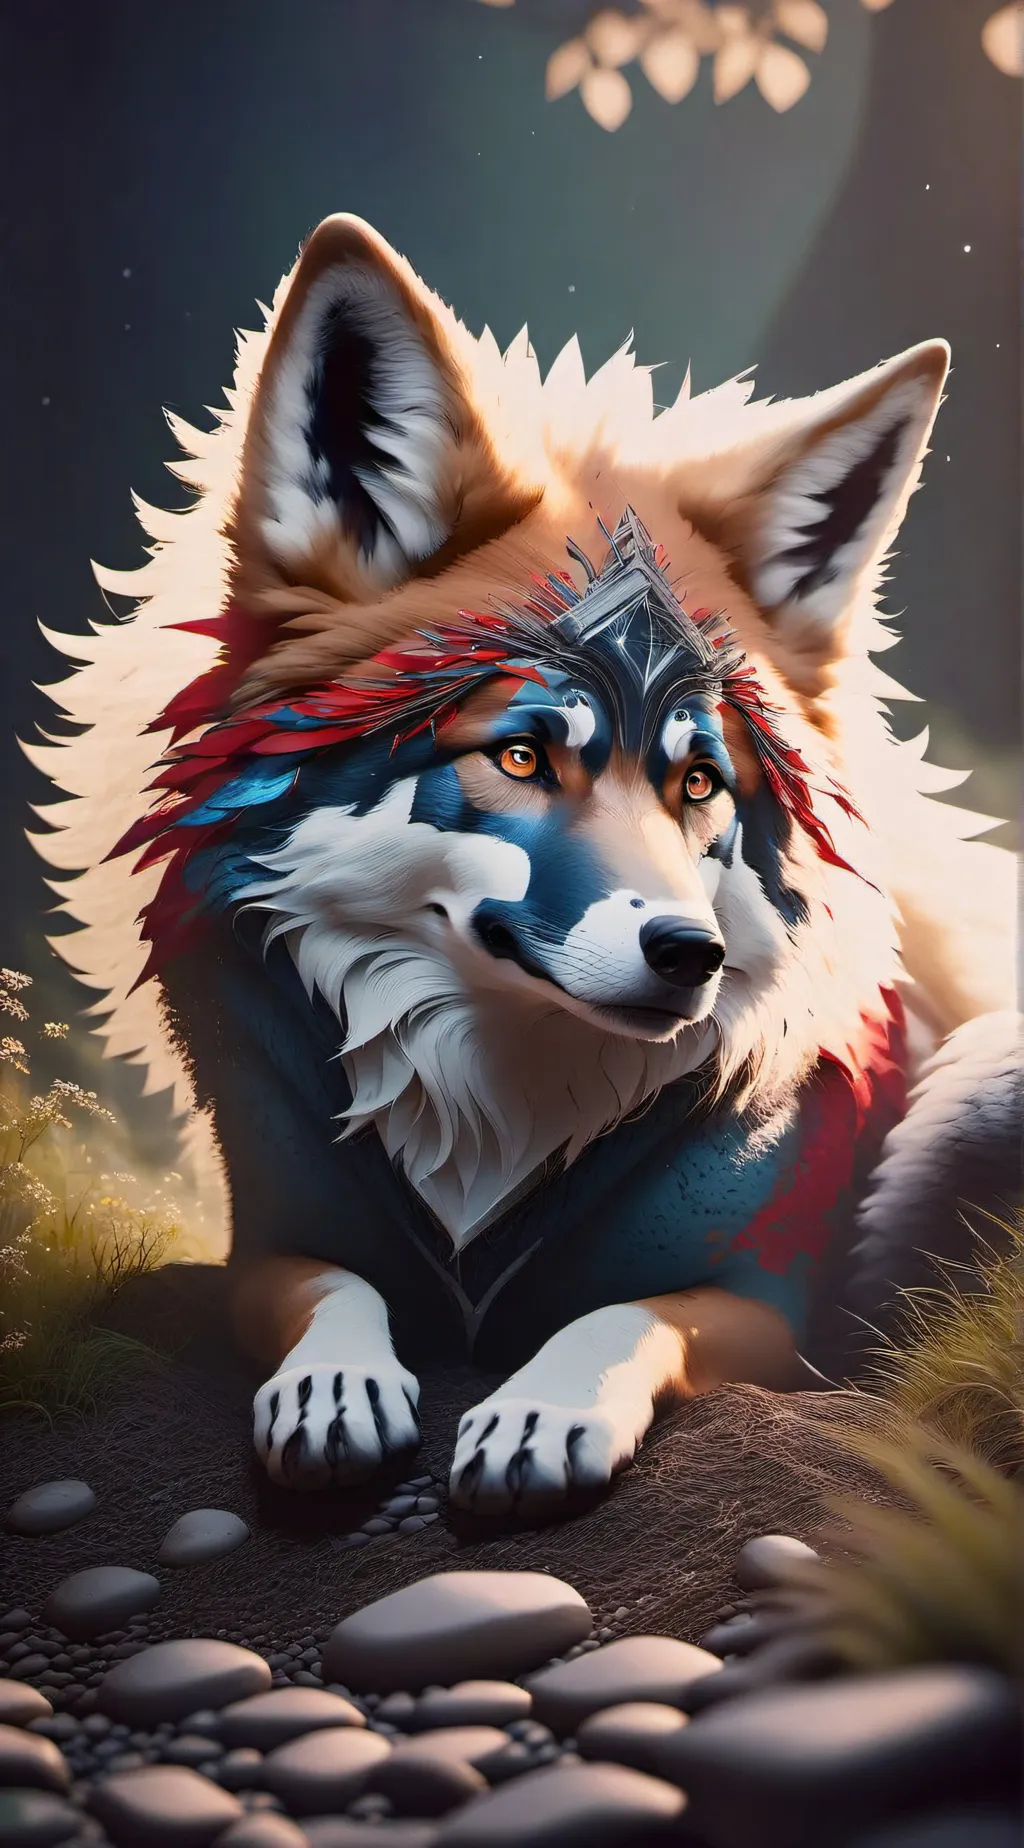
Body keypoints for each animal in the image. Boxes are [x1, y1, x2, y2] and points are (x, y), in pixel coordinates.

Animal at [31, 215, 1018, 1519]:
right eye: (520, 754)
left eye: (698, 782)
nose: (691, 956)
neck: (495, 1111)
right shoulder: (274, 1244)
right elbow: (333, 1293)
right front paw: (335, 1391)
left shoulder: (768, 1308)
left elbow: (619, 1316)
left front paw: (544, 1409)